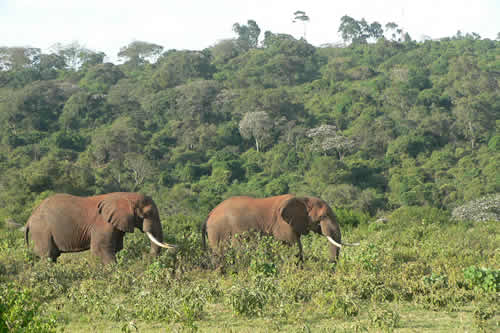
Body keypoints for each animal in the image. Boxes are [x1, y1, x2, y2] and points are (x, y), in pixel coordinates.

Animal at [26, 191, 178, 264]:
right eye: (148, 213)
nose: (146, 259)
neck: (126, 196)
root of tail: (29, 219)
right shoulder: (103, 224)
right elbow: (101, 249)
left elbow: (116, 248)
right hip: (41, 231)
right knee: (48, 255)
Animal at [201, 195, 358, 262]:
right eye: (323, 216)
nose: (332, 266)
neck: (304, 199)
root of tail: (209, 214)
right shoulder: (282, 224)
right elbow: (294, 247)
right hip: (218, 231)